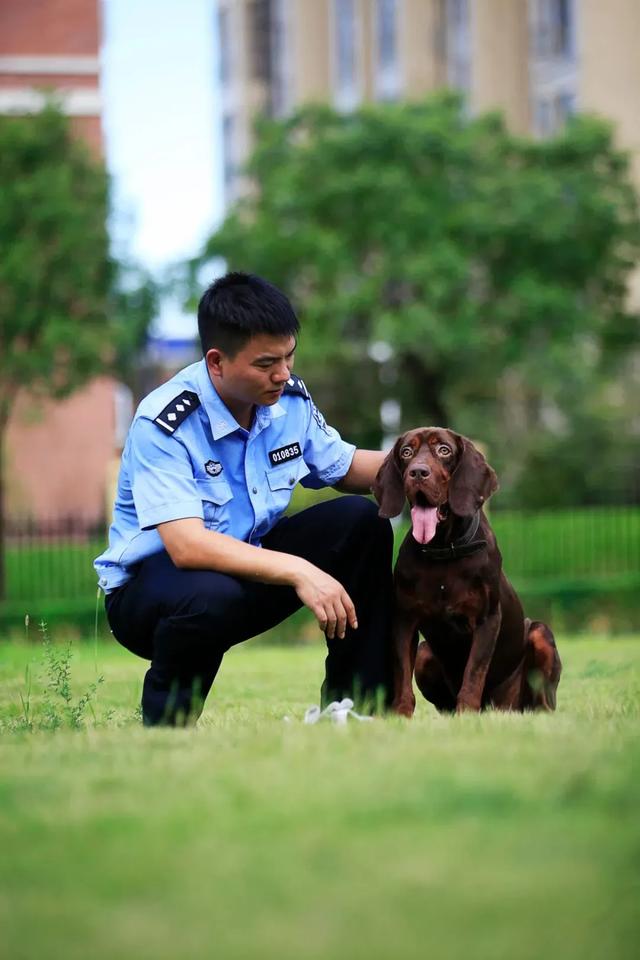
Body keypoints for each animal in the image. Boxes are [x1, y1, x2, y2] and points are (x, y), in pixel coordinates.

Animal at [372, 432, 564, 716]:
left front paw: (467, 713)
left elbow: (474, 672)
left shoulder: (486, 619)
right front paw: (401, 714)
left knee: (542, 701)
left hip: (540, 634)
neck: (444, 549)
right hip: (426, 654)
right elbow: (401, 672)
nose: (418, 472)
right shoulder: (404, 619)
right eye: (406, 452)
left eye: (444, 450)